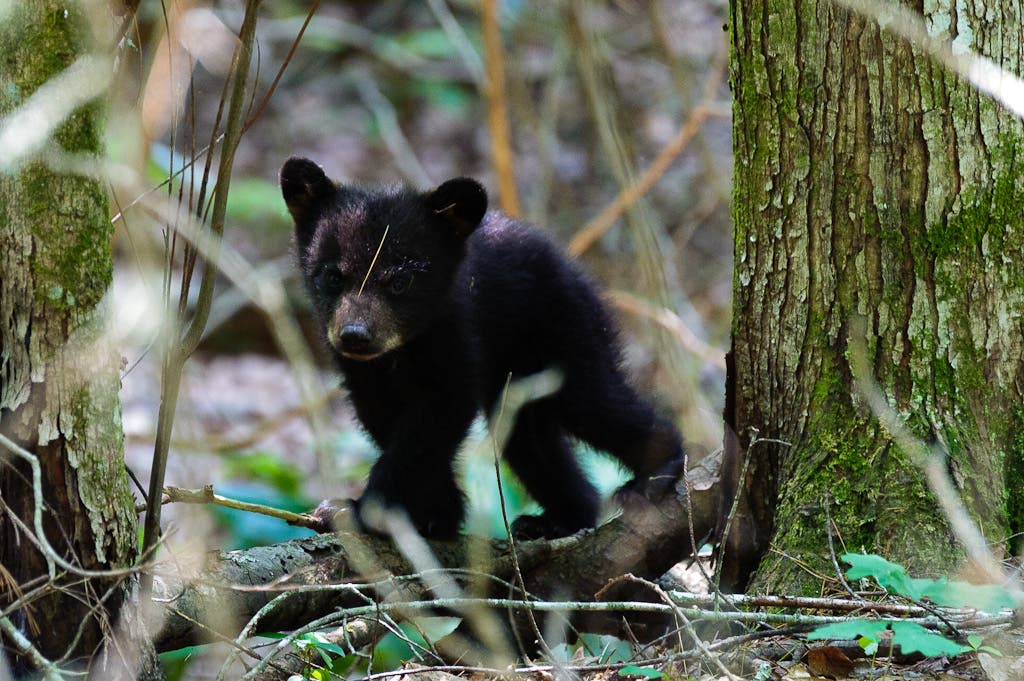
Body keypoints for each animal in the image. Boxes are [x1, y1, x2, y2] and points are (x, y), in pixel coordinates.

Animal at [281, 157, 685, 539]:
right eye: (333, 277)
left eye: (400, 281)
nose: (355, 335)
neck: (403, 349)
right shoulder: (364, 375)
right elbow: (389, 421)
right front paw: (438, 512)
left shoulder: (458, 334)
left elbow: (435, 419)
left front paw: (357, 512)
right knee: (530, 438)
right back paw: (563, 518)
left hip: (564, 326)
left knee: (592, 401)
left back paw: (653, 477)